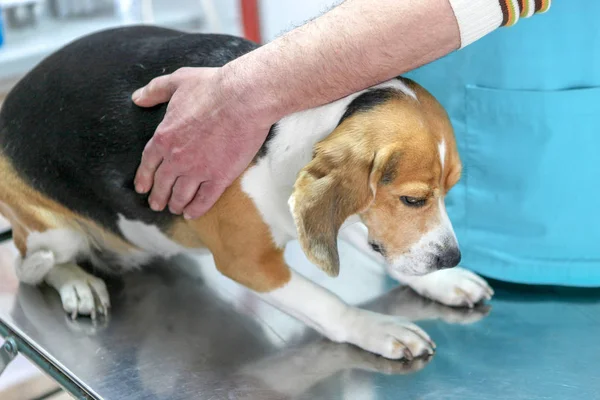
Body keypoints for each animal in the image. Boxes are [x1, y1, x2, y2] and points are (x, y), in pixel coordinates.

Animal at [0, 26, 492, 360]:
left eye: (449, 190)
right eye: (413, 200)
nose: (451, 258)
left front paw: (442, 282)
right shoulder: (249, 263)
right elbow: (327, 303)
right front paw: (376, 328)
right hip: (53, 233)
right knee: (31, 263)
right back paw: (78, 285)